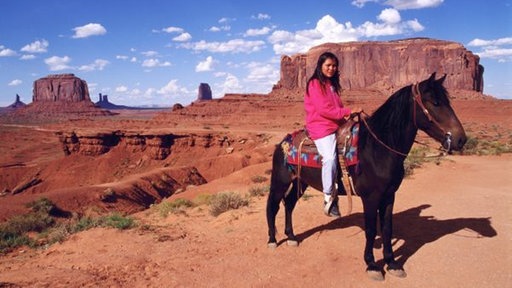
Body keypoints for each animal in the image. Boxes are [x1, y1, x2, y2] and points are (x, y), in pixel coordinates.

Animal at [266, 73, 466, 280]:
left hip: (301, 182)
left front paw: (392, 263)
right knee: (273, 206)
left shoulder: (389, 195)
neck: (378, 148)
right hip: (280, 181)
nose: (461, 139)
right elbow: (370, 230)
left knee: (289, 204)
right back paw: (273, 240)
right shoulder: (370, 197)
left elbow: (387, 228)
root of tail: (283, 142)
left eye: (447, 101)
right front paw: (372, 265)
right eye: (435, 102)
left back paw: (291, 237)